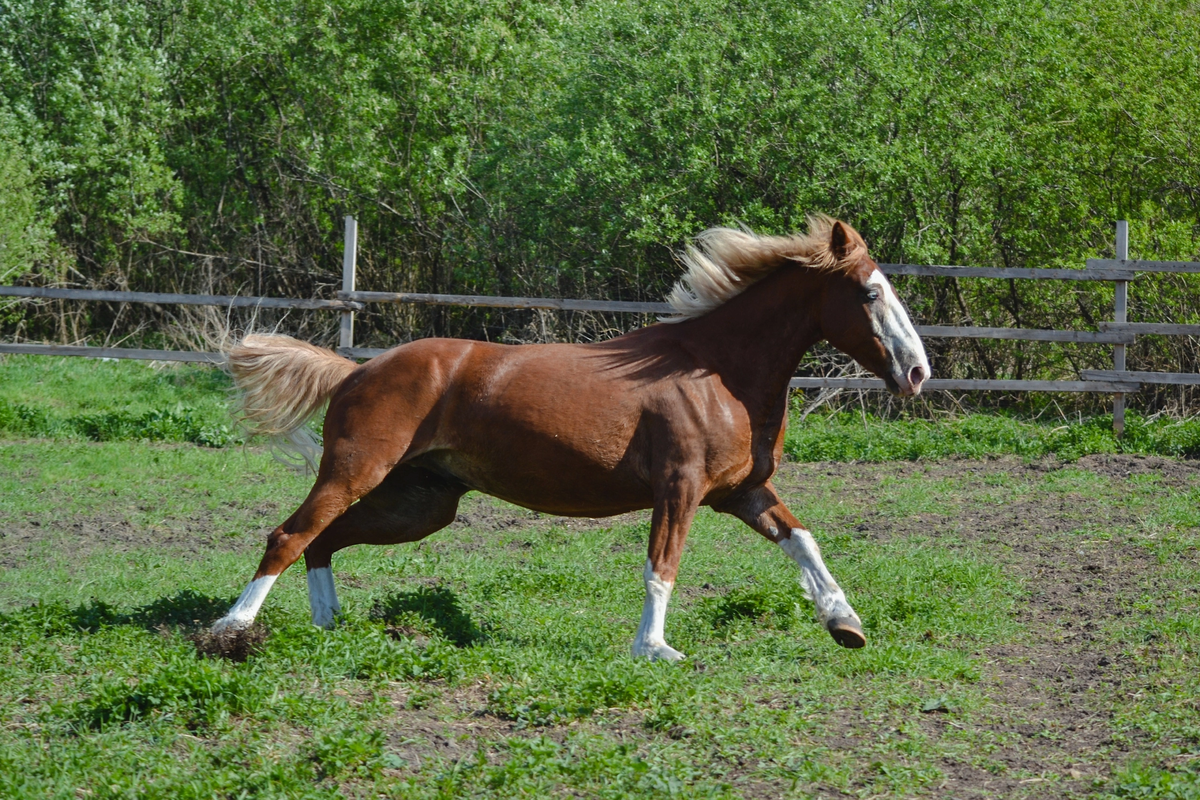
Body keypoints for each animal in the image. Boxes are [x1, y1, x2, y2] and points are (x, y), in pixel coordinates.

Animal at [213, 215, 926, 662]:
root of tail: (357, 371)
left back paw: (326, 623)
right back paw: (231, 632)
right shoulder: (680, 488)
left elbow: (802, 539)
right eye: (870, 292)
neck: (717, 372)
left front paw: (845, 624)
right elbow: (662, 566)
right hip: (356, 470)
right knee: (288, 535)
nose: (917, 373)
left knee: (323, 539)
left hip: (419, 504)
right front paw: (654, 649)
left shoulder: (739, 492)